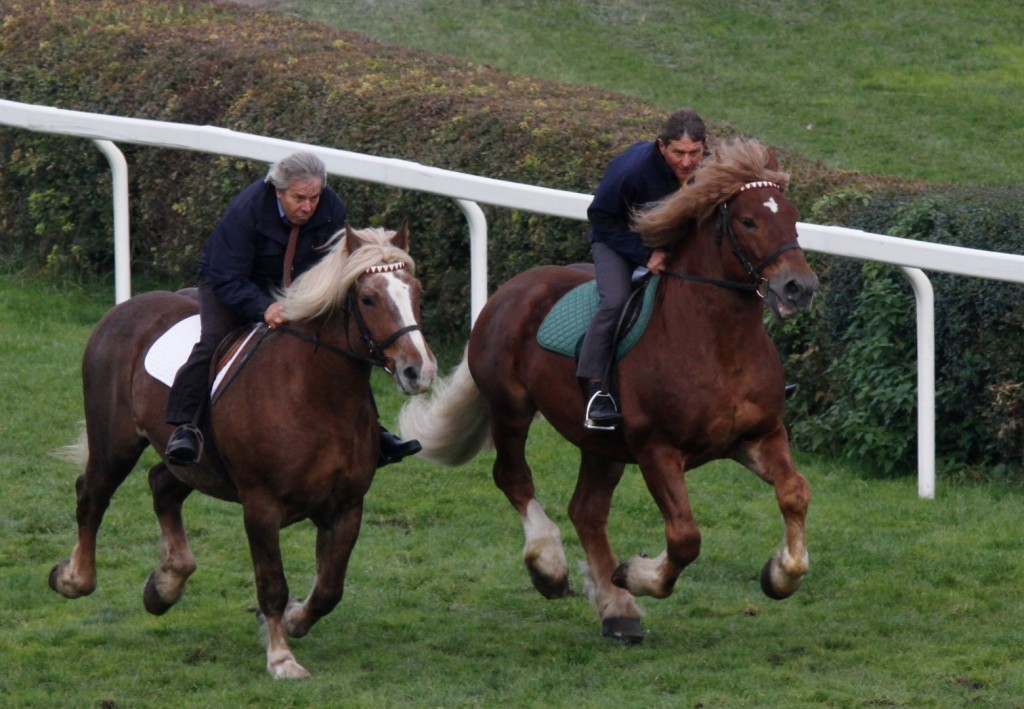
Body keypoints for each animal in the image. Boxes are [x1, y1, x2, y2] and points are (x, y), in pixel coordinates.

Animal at [49, 224, 434, 680]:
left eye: (416, 291)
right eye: (368, 299)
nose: (419, 371)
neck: (315, 395)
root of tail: (123, 309)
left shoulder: (346, 506)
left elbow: (329, 588)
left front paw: (294, 620)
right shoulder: (261, 507)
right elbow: (272, 584)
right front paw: (281, 658)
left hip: (192, 464)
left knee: (161, 485)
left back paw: (166, 584)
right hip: (115, 444)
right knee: (92, 495)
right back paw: (74, 579)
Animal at [397, 138, 815, 643]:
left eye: (792, 215)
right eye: (749, 221)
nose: (799, 288)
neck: (719, 342)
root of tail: (508, 291)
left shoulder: (758, 436)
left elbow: (794, 492)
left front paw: (781, 574)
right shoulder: (657, 449)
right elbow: (685, 537)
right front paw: (635, 573)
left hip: (603, 445)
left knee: (587, 511)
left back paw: (619, 611)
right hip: (511, 410)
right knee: (514, 478)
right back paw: (551, 567)